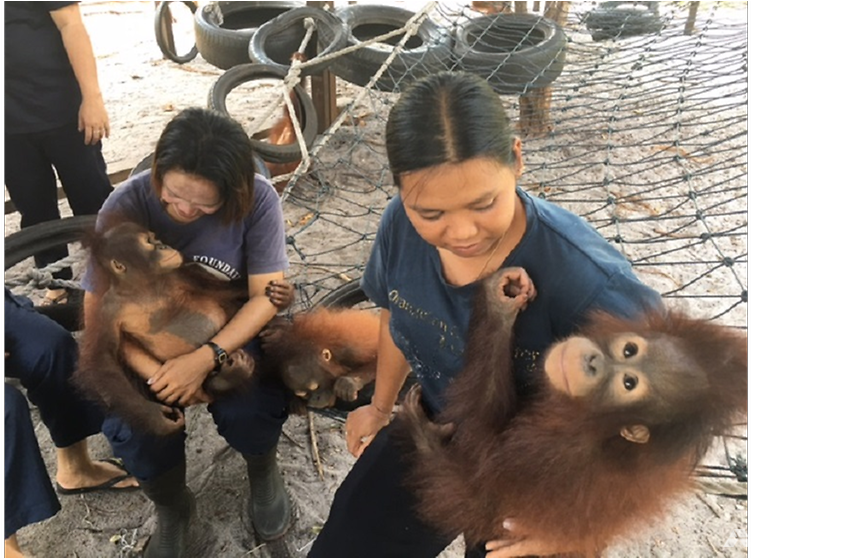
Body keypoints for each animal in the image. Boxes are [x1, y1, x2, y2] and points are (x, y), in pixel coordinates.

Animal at [73, 221, 295, 436]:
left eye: (154, 238)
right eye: (148, 243)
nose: (163, 245)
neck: (145, 285)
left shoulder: (183, 274)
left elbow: (223, 291)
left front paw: (285, 295)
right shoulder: (107, 312)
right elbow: (104, 358)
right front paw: (158, 419)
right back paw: (230, 377)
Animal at [395, 266, 748, 557]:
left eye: (629, 383)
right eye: (629, 350)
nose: (592, 361)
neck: (598, 427)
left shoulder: (551, 459)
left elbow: (478, 492)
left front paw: (423, 431)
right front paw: (502, 302)